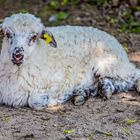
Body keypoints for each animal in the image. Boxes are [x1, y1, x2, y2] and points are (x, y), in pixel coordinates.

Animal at [0, 13, 140, 109]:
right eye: (8, 34)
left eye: (34, 37)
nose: (18, 55)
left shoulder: (62, 81)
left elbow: (34, 101)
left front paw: (63, 96)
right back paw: (93, 91)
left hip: (110, 64)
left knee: (133, 77)